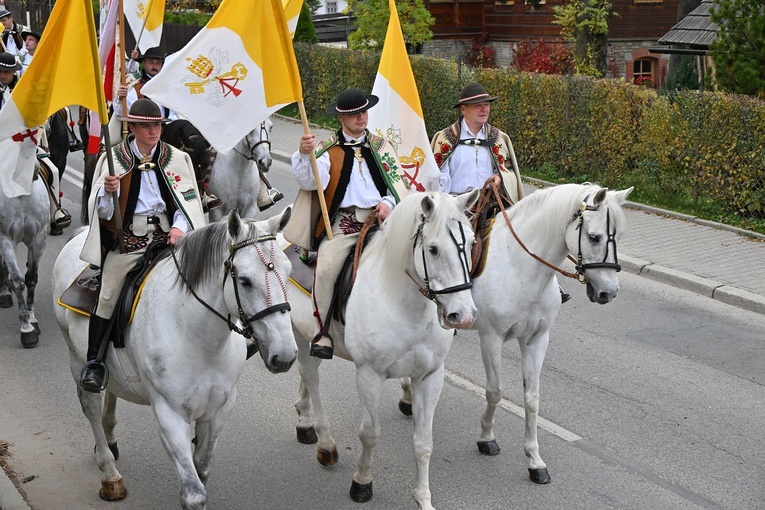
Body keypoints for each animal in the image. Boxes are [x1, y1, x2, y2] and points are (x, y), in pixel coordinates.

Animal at [0, 169, 49, 348]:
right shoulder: (5, 239)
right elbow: (17, 280)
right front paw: (27, 329)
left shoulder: (39, 239)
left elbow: (31, 278)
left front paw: (32, 318)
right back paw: (4, 293)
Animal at [52, 209, 296, 508]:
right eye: (245, 281)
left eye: (289, 271)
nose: (285, 355)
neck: (198, 338)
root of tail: (79, 236)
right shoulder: (171, 416)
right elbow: (194, 492)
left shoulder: (219, 409)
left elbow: (202, 467)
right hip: (76, 359)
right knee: (91, 409)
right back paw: (110, 476)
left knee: (112, 393)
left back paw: (109, 440)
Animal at [290, 191, 480, 510]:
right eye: (433, 249)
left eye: (473, 243)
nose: (463, 316)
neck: (405, 306)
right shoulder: (369, 375)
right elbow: (369, 434)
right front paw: (362, 483)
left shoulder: (430, 377)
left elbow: (424, 442)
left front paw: (423, 498)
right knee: (311, 376)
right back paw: (325, 443)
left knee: (306, 375)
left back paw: (304, 422)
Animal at [400, 183, 632, 486]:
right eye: (594, 237)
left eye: (619, 237)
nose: (609, 292)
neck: (520, 267)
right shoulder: (491, 338)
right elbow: (495, 391)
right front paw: (486, 437)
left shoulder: (537, 339)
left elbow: (532, 400)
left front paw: (535, 460)